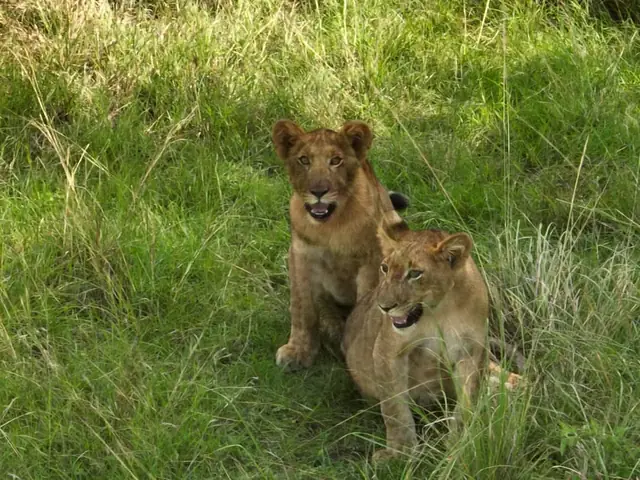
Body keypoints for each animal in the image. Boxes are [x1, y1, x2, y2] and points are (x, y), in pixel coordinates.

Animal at [272, 119, 409, 371]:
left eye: (336, 160)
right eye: (304, 160)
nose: (318, 192)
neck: (330, 227)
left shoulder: (370, 260)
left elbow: (365, 305)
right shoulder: (300, 256)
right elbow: (302, 308)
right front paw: (298, 351)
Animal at [342, 225, 489, 461]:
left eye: (414, 273)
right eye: (384, 268)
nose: (384, 307)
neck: (441, 310)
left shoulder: (472, 351)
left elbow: (467, 401)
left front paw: (460, 443)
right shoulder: (388, 350)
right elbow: (394, 407)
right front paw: (400, 451)